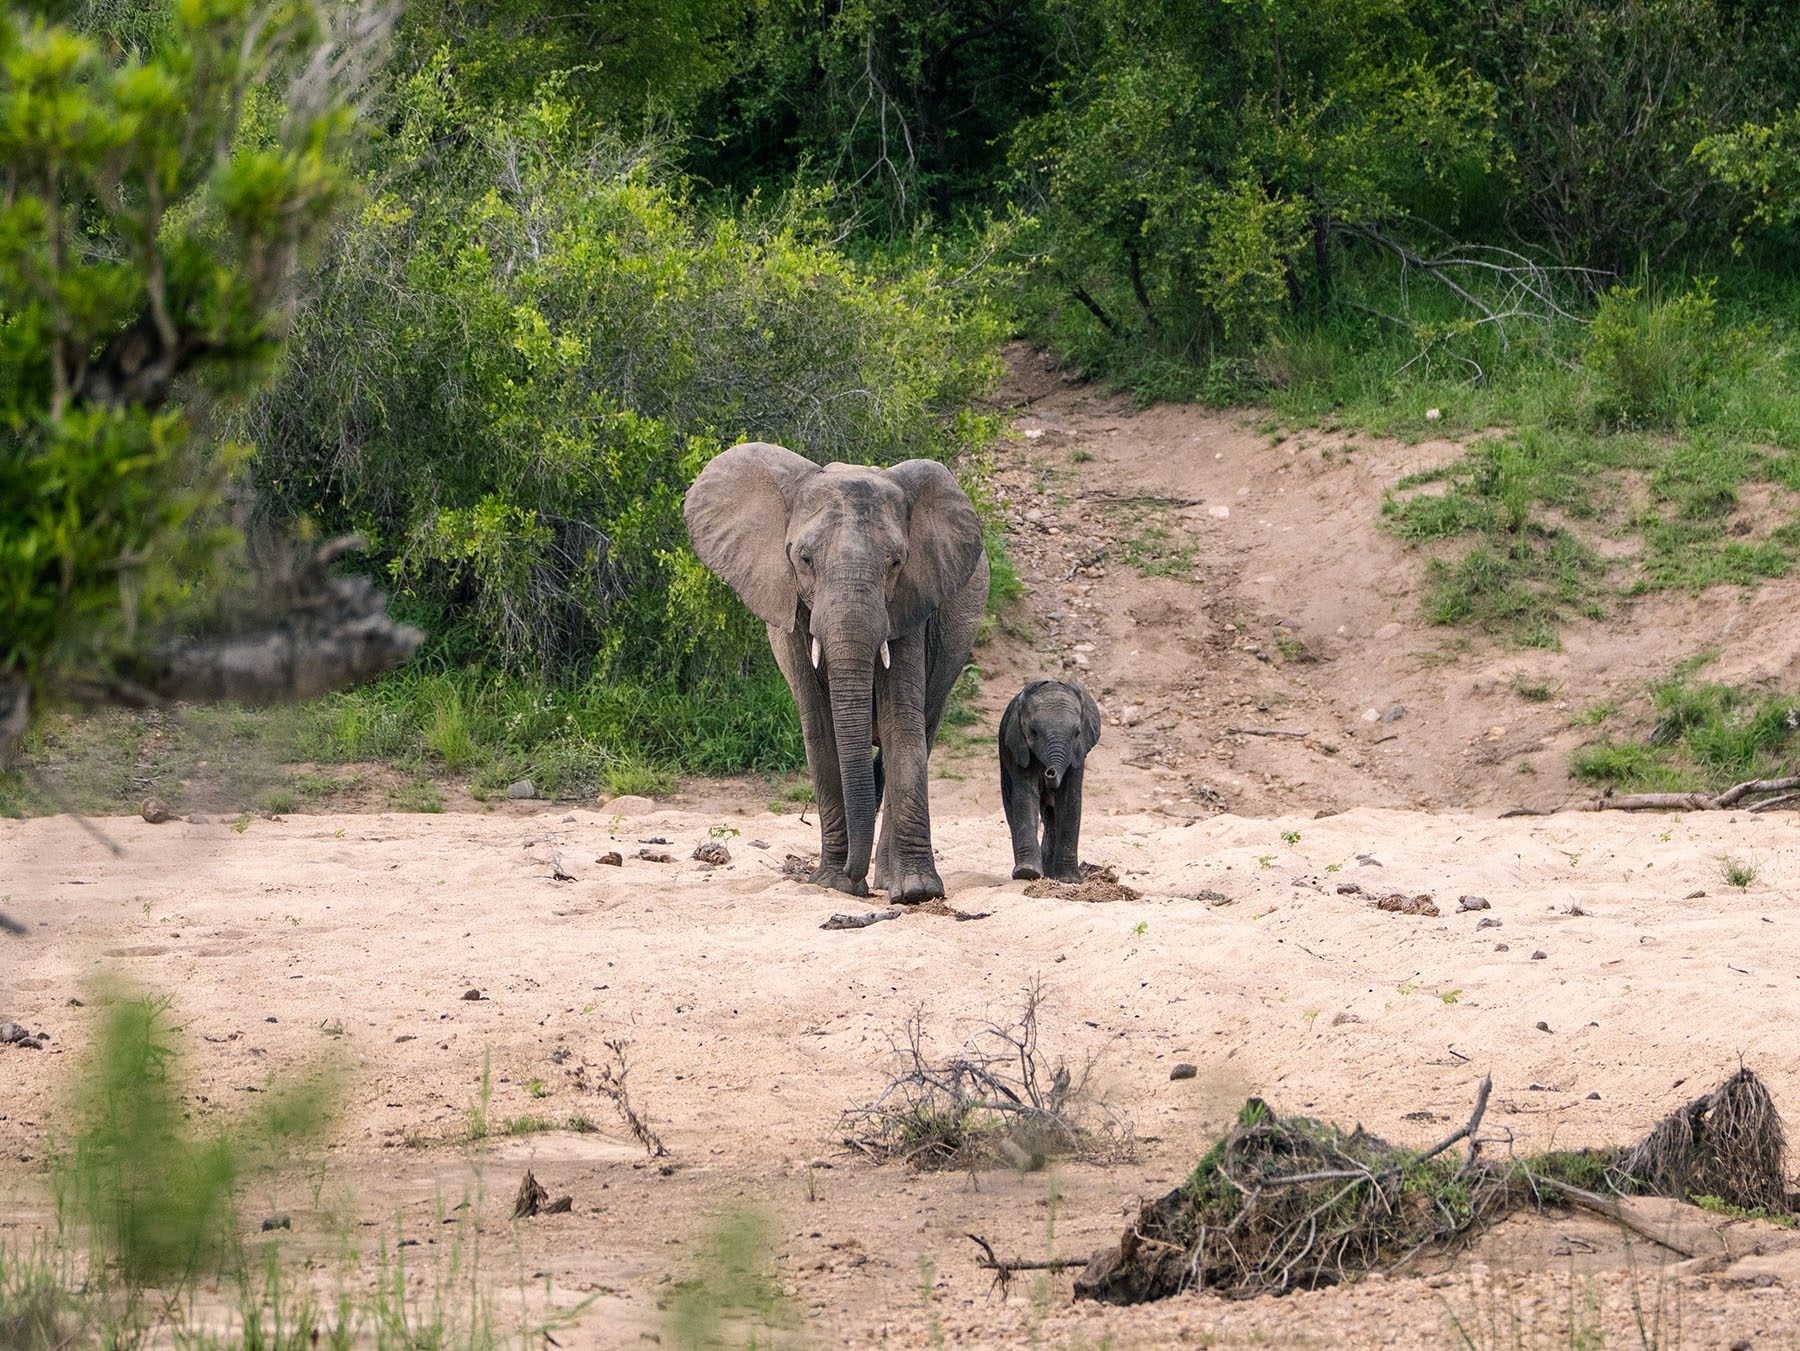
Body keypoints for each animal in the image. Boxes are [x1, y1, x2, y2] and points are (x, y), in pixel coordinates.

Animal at [684, 441, 989, 902]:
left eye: (896, 562)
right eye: (805, 559)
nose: (851, 876)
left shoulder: (909, 606)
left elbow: (902, 725)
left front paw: (916, 892)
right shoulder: (792, 613)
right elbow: (821, 731)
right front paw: (832, 884)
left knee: (924, 728)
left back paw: (890, 882)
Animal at [999, 679, 1100, 883]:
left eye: (1077, 733)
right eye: (1033, 732)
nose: (1050, 773)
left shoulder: (1078, 754)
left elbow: (1070, 799)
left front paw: (1070, 880)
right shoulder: (1018, 747)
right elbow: (1025, 796)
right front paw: (1027, 873)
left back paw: (1051, 874)